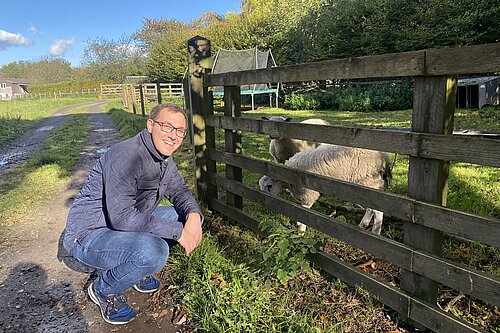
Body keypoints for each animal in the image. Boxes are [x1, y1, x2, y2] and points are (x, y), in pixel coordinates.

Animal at [260, 143, 392, 233]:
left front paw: (301, 229)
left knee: (378, 211)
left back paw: (375, 232)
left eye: (269, 186)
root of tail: (384, 156)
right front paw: (299, 223)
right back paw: (363, 225)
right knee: (371, 209)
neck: (286, 176)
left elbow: (305, 208)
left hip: (369, 184)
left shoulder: (308, 193)